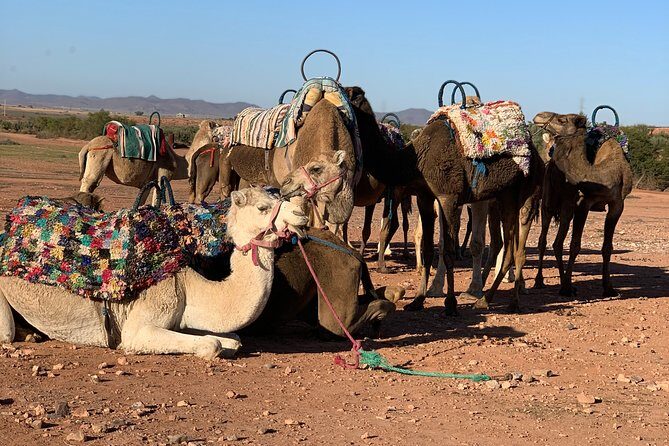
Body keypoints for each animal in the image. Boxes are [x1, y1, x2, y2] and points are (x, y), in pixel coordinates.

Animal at [0, 187, 309, 358]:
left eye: (277, 197)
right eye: (263, 207)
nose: (301, 213)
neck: (187, 284)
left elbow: (232, 341)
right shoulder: (137, 328)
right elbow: (211, 345)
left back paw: (32, 333)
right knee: (5, 333)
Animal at [532, 112, 633, 297]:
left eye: (562, 119)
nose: (539, 116)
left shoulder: (617, 205)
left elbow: (607, 247)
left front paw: (609, 288)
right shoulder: (583, 203)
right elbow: (574, 245)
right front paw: (566, 287)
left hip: (564, 206)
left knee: (556, 242)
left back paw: (564, 283)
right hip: (548, 202)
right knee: (543, 240)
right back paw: (542, 281)